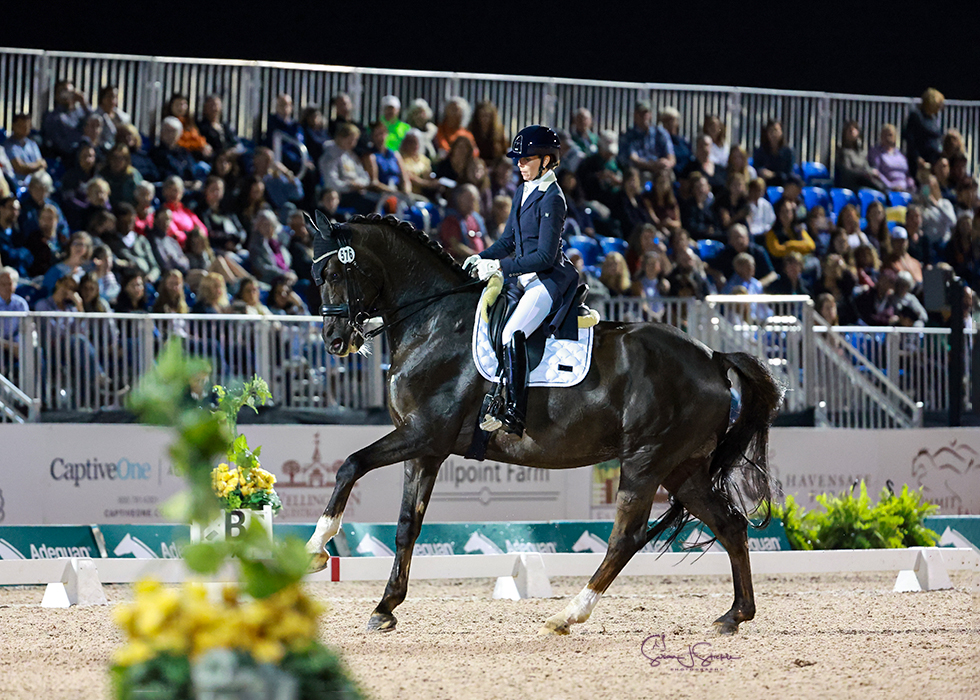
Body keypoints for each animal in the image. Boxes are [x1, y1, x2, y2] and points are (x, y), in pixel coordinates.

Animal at [306, 213, 780, 636]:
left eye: (334, 271)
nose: (335, 342)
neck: (434, 322)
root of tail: (713, 357)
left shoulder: (423, 433)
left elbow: (350, 464)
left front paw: (316, 548)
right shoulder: (426, 450)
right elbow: (407, 525)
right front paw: (385, 608)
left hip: (646, 461)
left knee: (627, 537)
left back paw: (568, 615)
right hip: (684, 468)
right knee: (730, 525)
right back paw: (735, 615)